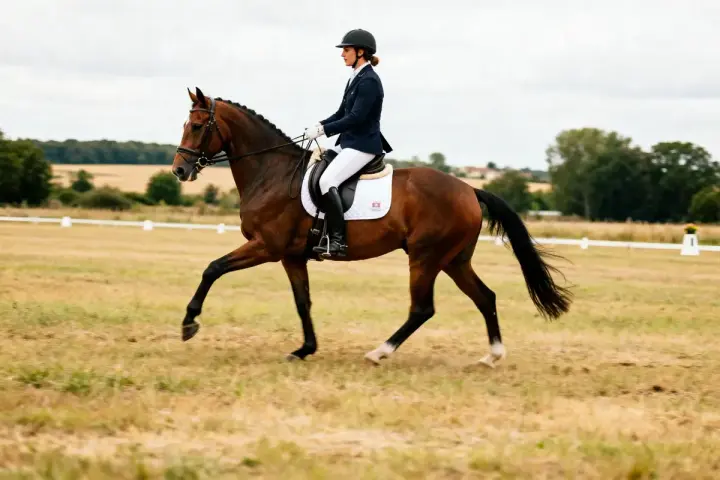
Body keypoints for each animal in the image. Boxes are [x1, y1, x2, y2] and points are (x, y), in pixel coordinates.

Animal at [171, 87, 573, 367]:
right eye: (185, 125)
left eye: (197, 126)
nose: (179, 170)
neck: (272, 173)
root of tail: (469, 189)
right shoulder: (291, 256)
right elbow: (303, 301)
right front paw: (304, 349)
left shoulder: (266, 247)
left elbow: (213, 269)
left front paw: (189, 323)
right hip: (454, 260)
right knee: (485, 297)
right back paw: (493, 355)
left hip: (426, 258)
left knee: (422, 309)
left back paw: (379, 352)